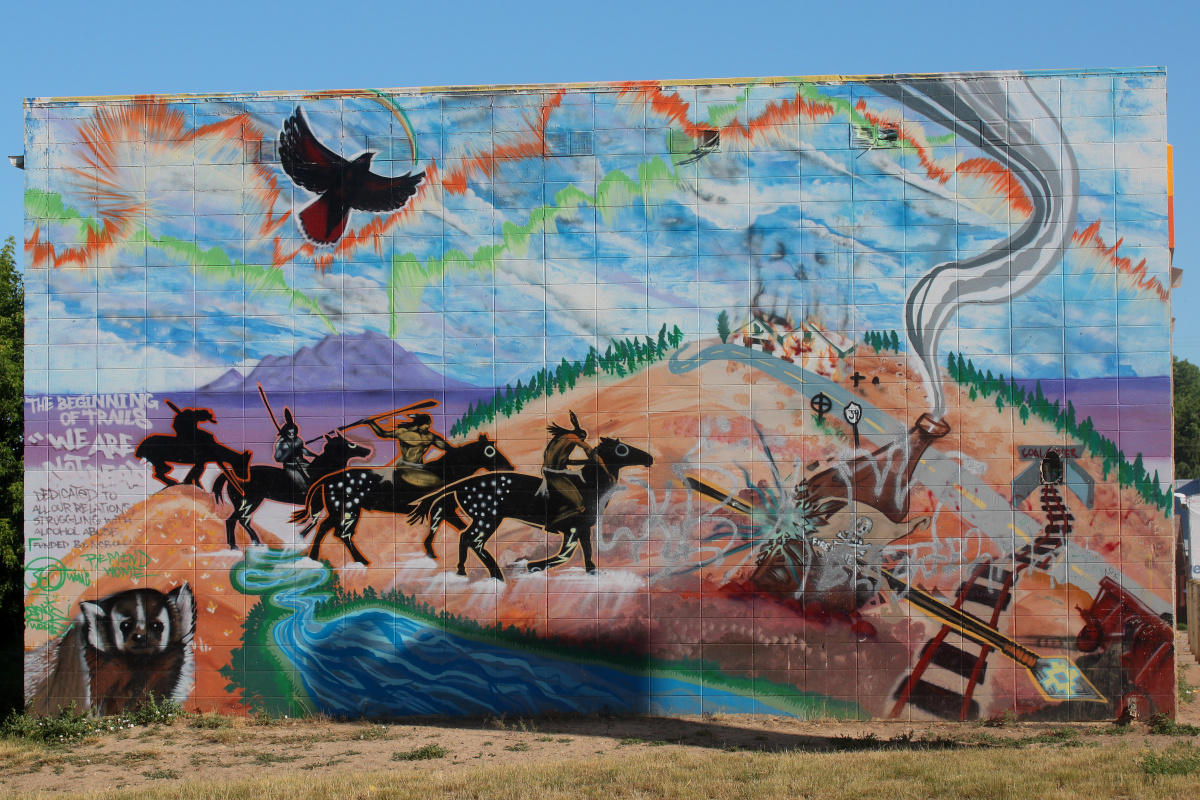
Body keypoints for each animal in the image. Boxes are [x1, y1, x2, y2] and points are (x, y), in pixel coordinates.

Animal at [211, 431, 369, 551]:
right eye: (350, 444)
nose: (367, 450)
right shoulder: (317, 502)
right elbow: (314, 521)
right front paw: (299, 538)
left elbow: (314, 520)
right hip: (247, 501)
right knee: (232, 520)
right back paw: (234, 547)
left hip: (251, 502)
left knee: (244, 520)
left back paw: (256, 542)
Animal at [294, 434, 516, 566]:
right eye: (490, 451)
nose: (510, 467)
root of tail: (328, 479)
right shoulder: (443, 509)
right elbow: (441, 528)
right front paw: (431, 552)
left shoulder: (446, 511)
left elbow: (451, 527)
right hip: (349, 509)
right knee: (340, 532)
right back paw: (360, 561)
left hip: (339, 510)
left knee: (327, 529)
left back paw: (317, 558)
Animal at [405, 438, 652, 582]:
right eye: (622, 449)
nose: (649, 458)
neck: (588, 486)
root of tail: (462, 484)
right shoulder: (572, 529)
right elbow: (565, 555)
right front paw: (532, 566)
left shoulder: (582, 529)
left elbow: (588, 555)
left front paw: (593, 575)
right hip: (487, 518)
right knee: (471, 539)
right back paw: (495, 575)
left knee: (467, 538)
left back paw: (465, 571)